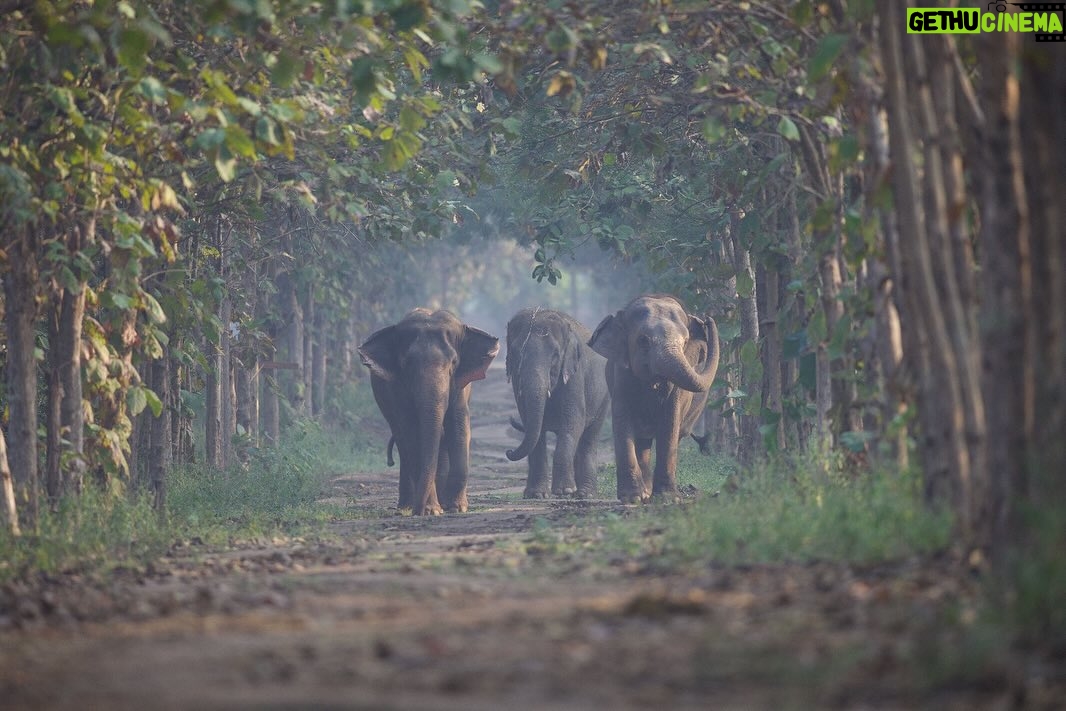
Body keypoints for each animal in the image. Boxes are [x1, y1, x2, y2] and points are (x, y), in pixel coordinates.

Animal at [358, 308, 499, 515]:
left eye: (454, 362)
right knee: (403, 442)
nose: (418, 510)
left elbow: (458, 426)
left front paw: (457, 508)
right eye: (407, 363)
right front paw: (431, 511)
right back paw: (406, 506)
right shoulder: (397, 390)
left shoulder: (461, 386)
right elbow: (411, 432)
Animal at [505, 308, 610, 499]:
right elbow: (530, 422)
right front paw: (536, 494)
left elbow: (573, 420)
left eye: (555, 355)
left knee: (589, 437)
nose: (508, 451)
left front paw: (564, 491)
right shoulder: (516, 379)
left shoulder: (575, 372)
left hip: (604, 396)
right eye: (515, 354)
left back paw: (585, 494)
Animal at [589, 294, 720, 503]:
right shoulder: (621, 376)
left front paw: (668, 498)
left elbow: (670, 422)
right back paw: (644, 493)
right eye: (643, 340)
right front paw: (631, 498)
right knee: (642, 441)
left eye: (685, 342)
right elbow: (622, 419)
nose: (707, 319)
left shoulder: (677, 390)